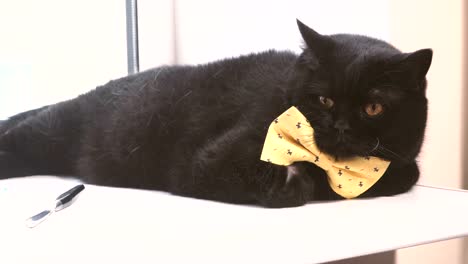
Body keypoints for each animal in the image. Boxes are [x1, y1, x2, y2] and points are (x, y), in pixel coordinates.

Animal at [0, 20, 432, 208]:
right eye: (323, 100)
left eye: (373, 107)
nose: (340, 127)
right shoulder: (206, 162)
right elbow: (287, 185)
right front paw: (299, 183)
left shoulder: (402, 162)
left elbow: (408, 172)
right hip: (51, 132)